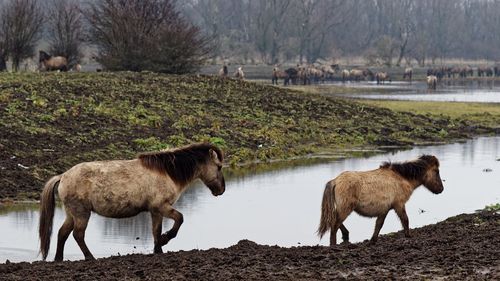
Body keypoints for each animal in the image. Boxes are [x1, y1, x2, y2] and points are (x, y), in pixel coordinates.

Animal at [39, 142, 225, 260]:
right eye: (219, 166)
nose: (221, 190)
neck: (167, 172)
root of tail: (63, 176)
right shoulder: (162, 206)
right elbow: (179, 219)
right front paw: (165, 239)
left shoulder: (155, 211)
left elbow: (155, 231)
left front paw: (158, 250)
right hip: (81, 213)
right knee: (78, 235)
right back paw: (90, 258)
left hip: (71, 214)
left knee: (62, 233)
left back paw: (58, 259)